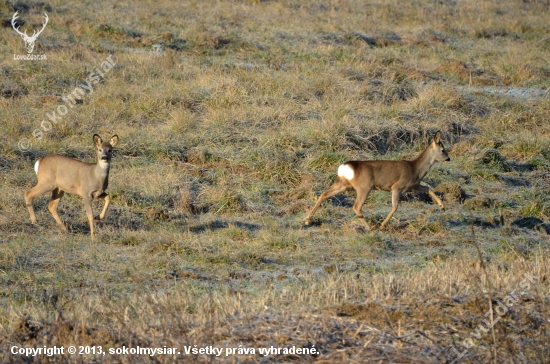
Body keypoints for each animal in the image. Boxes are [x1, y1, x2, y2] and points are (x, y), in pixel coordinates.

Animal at [306, 130, 452, 228]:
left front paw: (442, 206)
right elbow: (395, 206)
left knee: (324, 194)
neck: (415, 169)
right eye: (443, 149)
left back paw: (307, 219)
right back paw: (369, 227)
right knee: (356, 206)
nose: (449, 158)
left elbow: (428, 188)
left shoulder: (412, 186)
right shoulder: (397, 186)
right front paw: (382, 225)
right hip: (365, 186)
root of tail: (345, 167)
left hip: (343, 184)